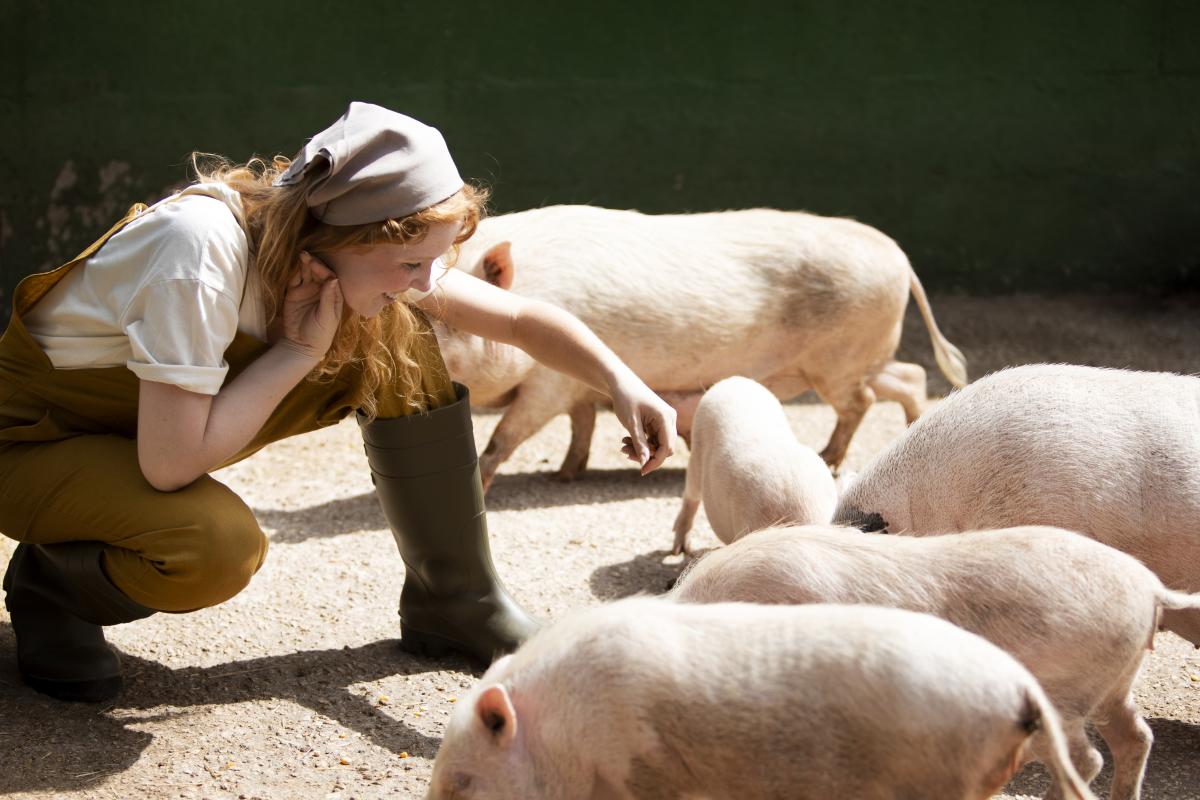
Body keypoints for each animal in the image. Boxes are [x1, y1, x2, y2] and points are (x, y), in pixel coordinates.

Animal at [432, 205, 964, 489]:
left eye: (444, 318)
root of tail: (900, 257)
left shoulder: (548, 383)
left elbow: (507, 436)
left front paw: (494, 481)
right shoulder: (573, 390)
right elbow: (581, 424)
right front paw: (565, 476)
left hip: (837, 361)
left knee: (865, 399)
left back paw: (828, 457)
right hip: (859, 357)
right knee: (910, 376)